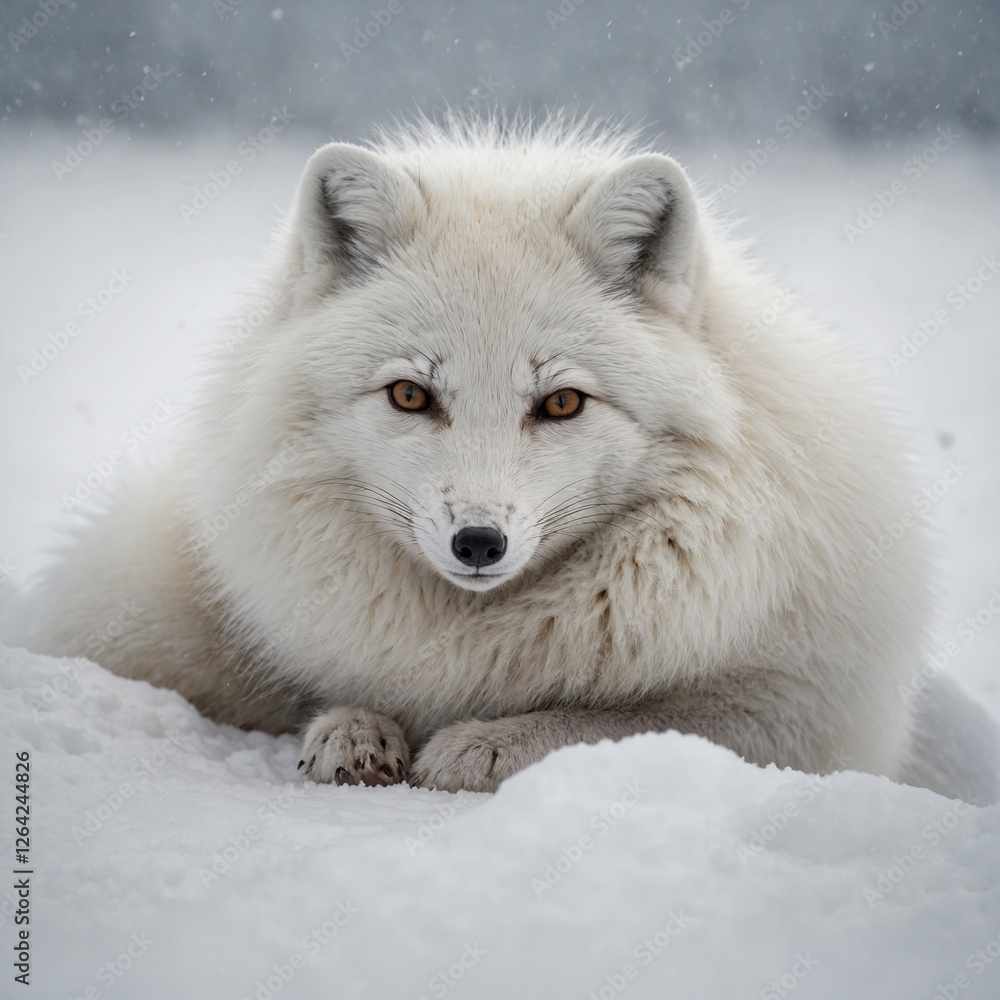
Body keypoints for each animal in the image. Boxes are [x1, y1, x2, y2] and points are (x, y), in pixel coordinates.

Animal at [26, 116, 995, 799]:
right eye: (410, 396)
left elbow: (622, 722)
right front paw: (353, 730)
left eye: (561, 402)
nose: (478, 543)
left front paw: (484, 743)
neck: (476, 638)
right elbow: (315, 686)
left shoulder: (809, 714)